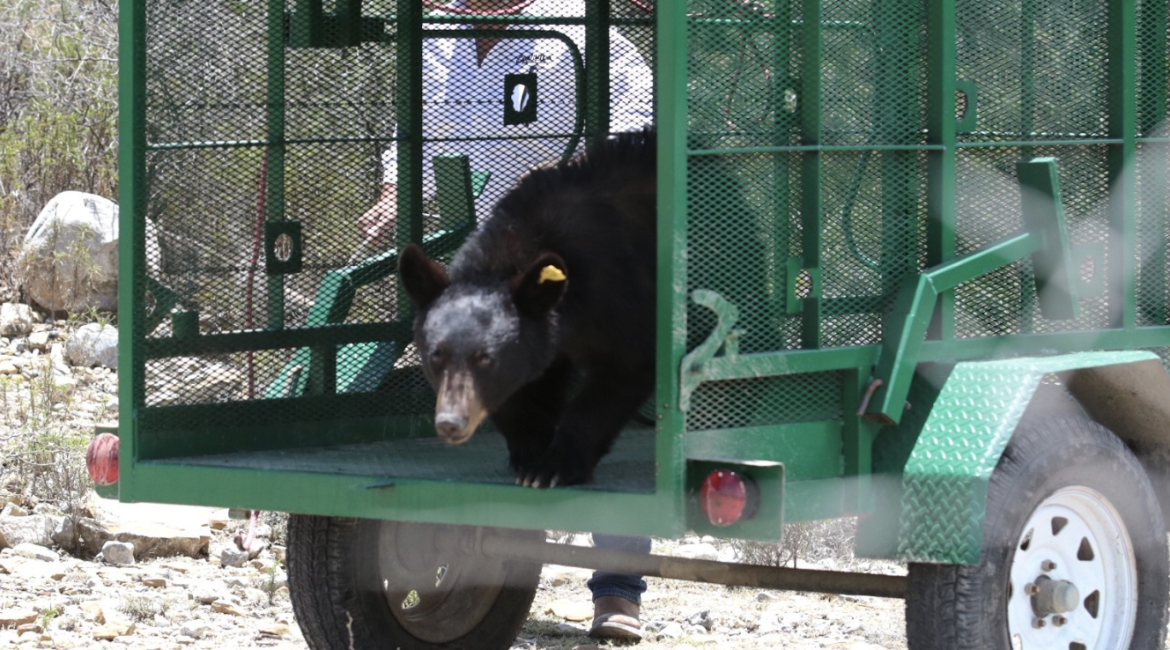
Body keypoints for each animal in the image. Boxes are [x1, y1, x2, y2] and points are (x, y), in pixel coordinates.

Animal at [398, 127, 656, 488]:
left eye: (485, 359)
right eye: (436, 356)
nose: (450, 422)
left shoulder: (619, 295)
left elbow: (625, 367)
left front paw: (554, 467)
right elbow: (528, 385)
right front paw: (530, 449)